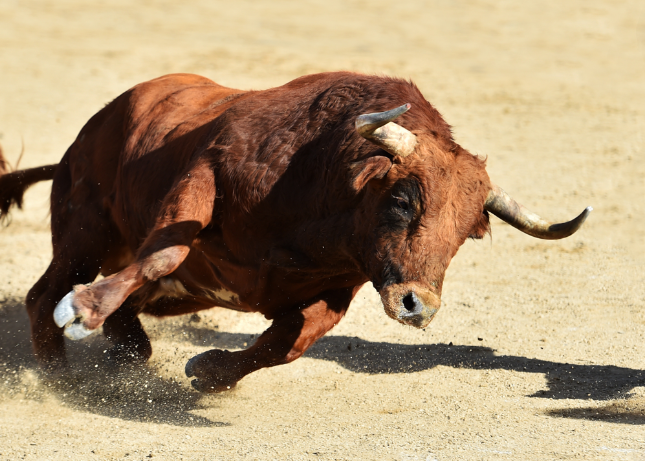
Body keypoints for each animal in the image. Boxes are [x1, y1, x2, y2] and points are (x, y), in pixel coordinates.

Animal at [0, 73, 588, 392]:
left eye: (468, 234)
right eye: (402, 200)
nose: (417, 306)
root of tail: (95, 126)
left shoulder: (340, 284)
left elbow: (291, 342)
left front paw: (210, 369)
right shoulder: (207, 169)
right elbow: (164, 253)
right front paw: (85, 309)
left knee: (130, 328)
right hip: (85, 229)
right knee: (43, 295)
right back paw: (58, 375)